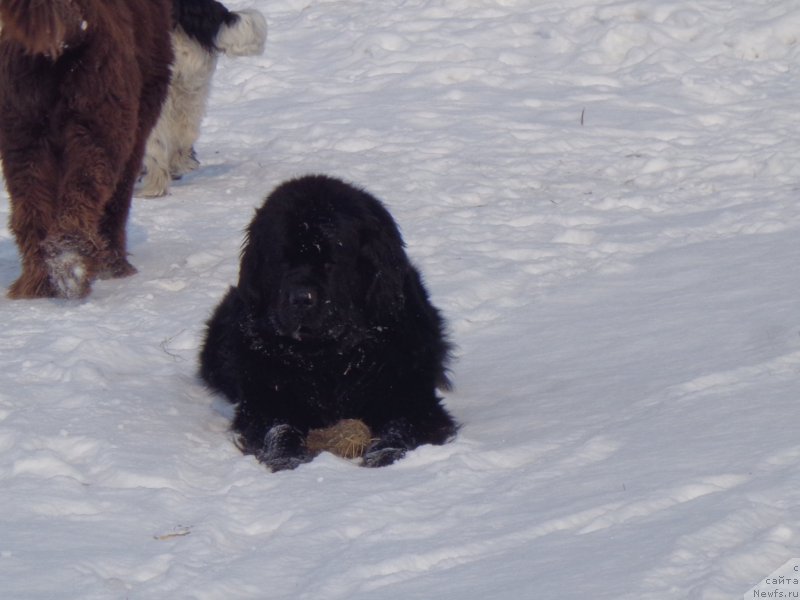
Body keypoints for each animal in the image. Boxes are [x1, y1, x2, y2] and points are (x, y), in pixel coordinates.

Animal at [0, 0, 174, 300]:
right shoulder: (139, 123)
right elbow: (117, 200)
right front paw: (113, 267)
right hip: (100, 116)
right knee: (87, 191)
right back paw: (73, 263)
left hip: (23, 129)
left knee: (31, 210)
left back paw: (39, 282)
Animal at [200, 173, 460, 468]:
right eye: (281, 261)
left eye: (330, 262)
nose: (301, 298)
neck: (327, 358)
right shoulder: (265, 402)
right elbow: (279, 429)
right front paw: (287, 457)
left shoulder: (412, 398)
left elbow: (401, 426)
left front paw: (384, 455)